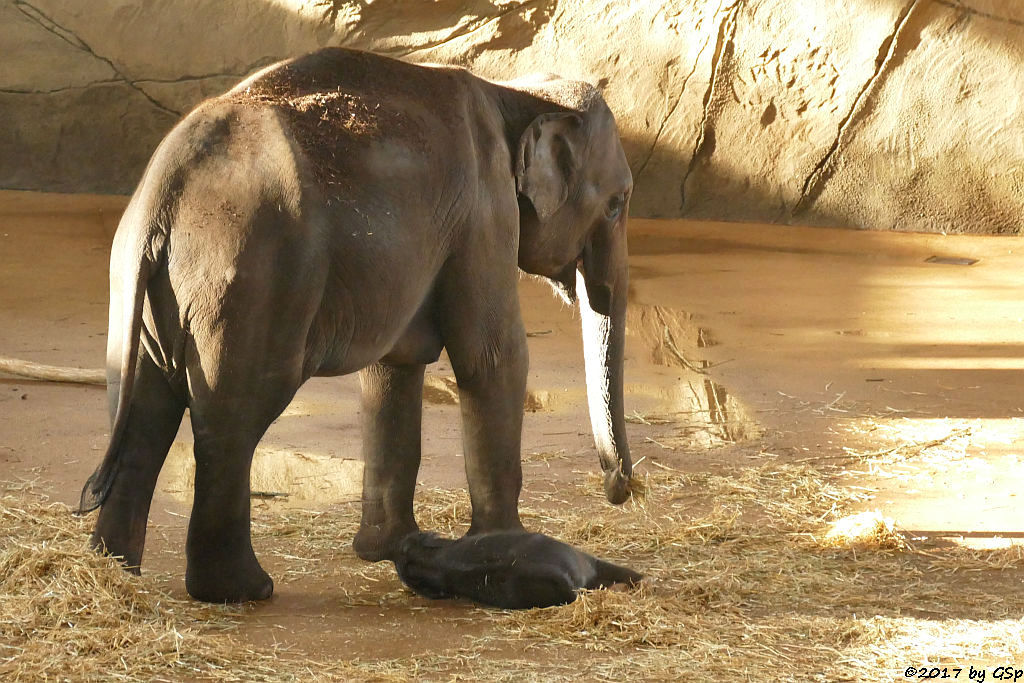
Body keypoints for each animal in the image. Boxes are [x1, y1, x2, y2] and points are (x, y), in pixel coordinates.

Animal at [79, 48, 630, 602]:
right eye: (617, 204)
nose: (620, 490)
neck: (514, 91)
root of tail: (166, 195)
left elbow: (394, 366)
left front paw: (385, 549)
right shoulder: (485, 210)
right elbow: (492, 356)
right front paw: (500, 543)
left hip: (142, 287)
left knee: (142, 410)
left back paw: (115, 569)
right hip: (253, 279)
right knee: (231, 415)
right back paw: (243, 590)